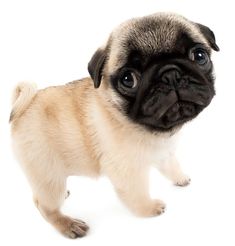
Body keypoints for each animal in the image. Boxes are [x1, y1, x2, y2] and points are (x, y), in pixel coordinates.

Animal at [9, 12, 218, 238]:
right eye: (128, 79)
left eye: (199, 56)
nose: (169, 74)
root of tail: (25, 106)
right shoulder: (127, 172)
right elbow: (137, 194)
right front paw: (149, 209)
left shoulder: (165, 152)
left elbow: (171, 166)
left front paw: (180, 178)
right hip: (47, 173)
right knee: (44, 206)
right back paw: (68, 224)